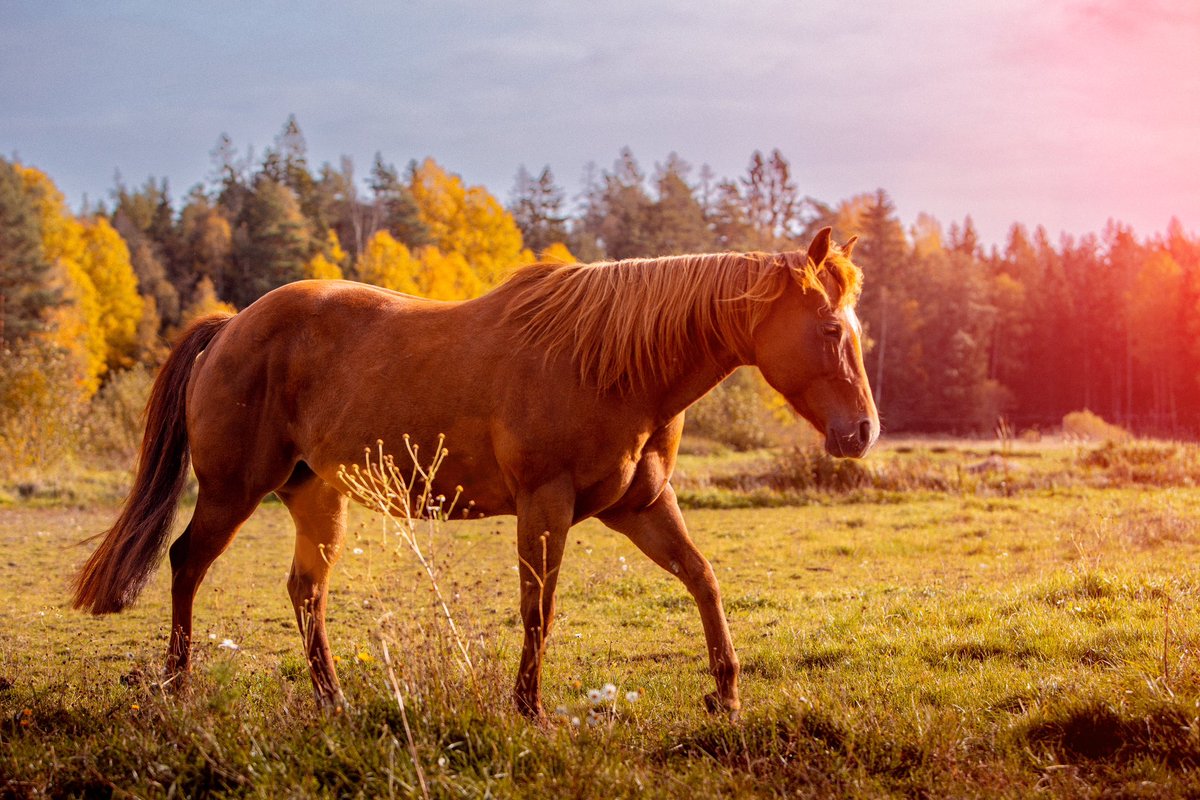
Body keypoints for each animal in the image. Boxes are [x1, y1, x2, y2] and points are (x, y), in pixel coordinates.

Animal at [75, 226, 883, 719]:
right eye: (830, 329)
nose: (862, 432)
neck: (610, 364)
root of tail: (230, 326)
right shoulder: (545, 505)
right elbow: (539, 609)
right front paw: (528, 708)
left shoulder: (642, 505)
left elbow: (704, 579)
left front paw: (726, 696)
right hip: (231, 491)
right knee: (187, 562)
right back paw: (179, 687)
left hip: (317, 498)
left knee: (305, 592)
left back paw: (332, 700)